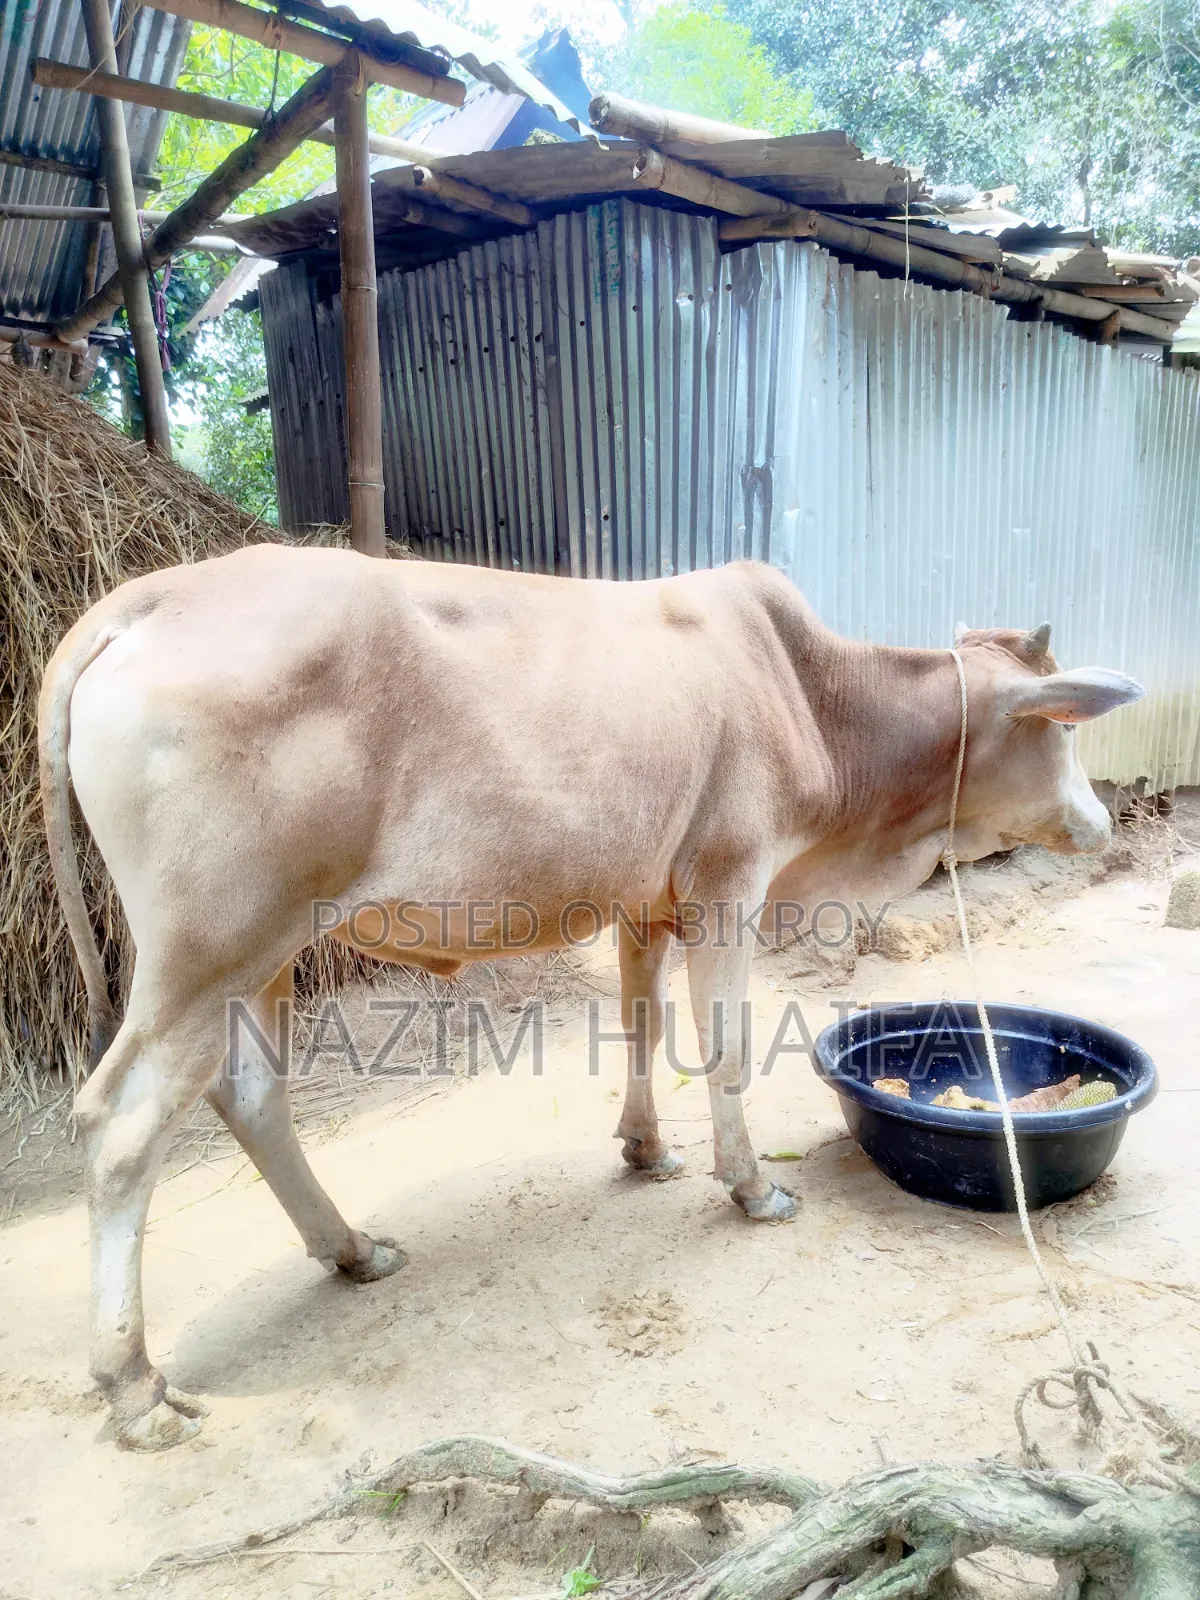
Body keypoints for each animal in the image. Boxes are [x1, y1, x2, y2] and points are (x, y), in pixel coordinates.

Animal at [39, 547, 1142, 1450]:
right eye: (1061, 735)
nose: (1102, 822)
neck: (810, 695)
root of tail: (141, 600)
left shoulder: (645, 899)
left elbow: (643, 1028)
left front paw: (646, 1148)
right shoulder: (727, 882)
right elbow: (725, 1045)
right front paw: (752, 1187)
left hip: (264, 952)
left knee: (252, 1096)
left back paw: (350, 1249)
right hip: (208, 950)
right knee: (122, 1126)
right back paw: (133, 1384)